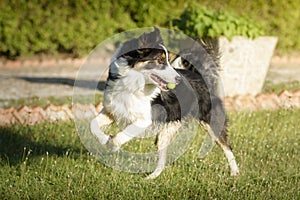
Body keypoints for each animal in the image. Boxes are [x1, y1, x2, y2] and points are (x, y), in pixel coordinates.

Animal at [89, 27, 239, 179]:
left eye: (167, 60)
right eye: (160, 60)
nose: (178, 79)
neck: (132, 83)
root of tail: (201, 76)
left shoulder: (144, 120)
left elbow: (119, 137)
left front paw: (112, 145)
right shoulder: (112, 110)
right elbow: (92, 125)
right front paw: (104, 139)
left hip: (210, 121)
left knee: (227, 146)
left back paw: (235, 172)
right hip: (166, 131)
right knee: (162, 159)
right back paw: (150, 178)